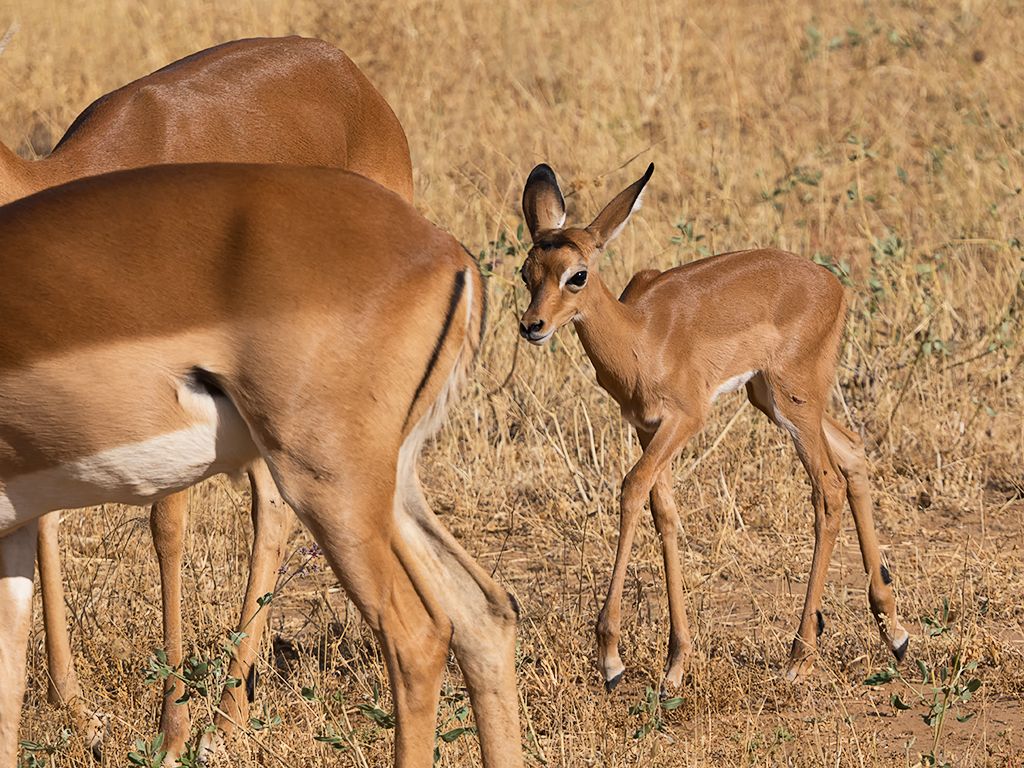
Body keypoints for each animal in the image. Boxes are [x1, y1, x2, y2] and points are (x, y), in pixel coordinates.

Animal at [0, 36, 414, 760]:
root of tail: (350, 76)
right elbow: (44, 519)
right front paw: (77, 712)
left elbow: (166, 531)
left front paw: (170, 731)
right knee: (273, 503)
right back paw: (234, 712)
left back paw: (224, 719)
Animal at [517, 162, 909, 690]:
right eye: (526, 272)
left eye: (576, 275)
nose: (532, 325)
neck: (642, 337)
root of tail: (834, 285)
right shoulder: (647, 427)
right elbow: (664, 513)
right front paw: (675, 663)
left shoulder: (685, 420)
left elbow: (631, 488)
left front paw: (612, 660)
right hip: (769, 398)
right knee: (852, 451)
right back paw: (895, 634)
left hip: (794, 401)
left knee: (828, 487)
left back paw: (799, 657)